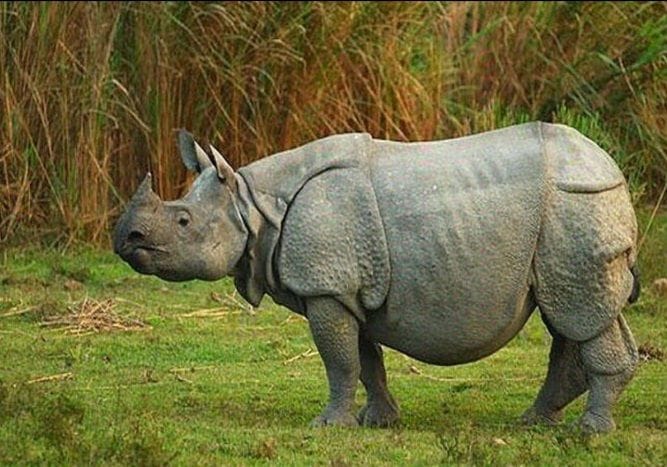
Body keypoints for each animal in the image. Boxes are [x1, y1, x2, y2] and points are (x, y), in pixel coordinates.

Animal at [113, 122, 640, 433]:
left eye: (183, 222)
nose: (125, 239)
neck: (253, 203)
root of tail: (613, 167)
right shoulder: (347, 289)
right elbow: (365, 361)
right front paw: (377, 421)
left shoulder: (326, 287)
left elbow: (340, 362)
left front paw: (328, 426)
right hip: (574, 212)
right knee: (573, 315)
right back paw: (533, 422)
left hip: (576, 202)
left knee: (580, 313)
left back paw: (589, 431)